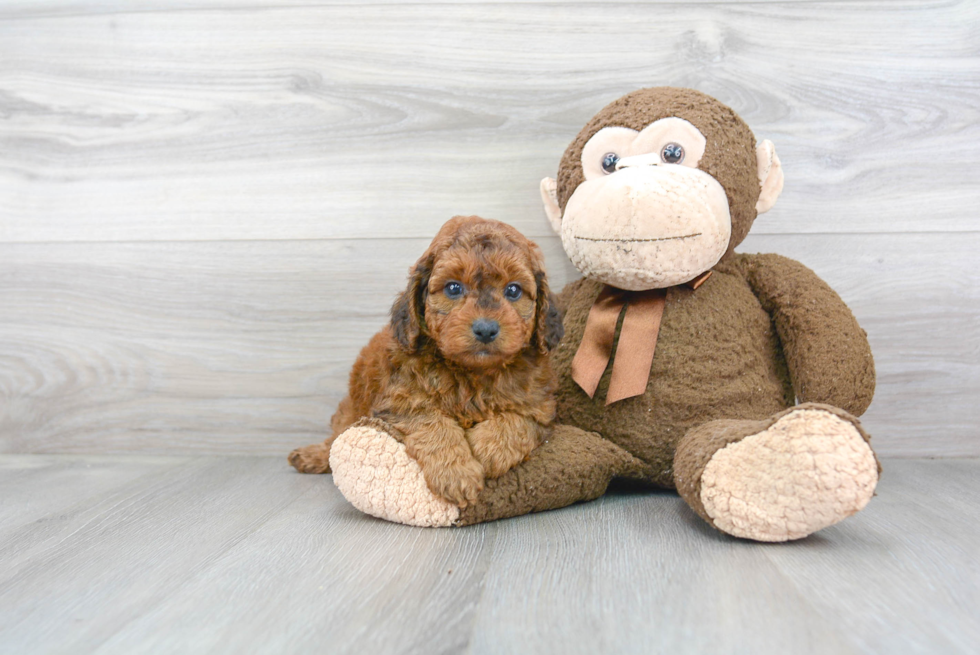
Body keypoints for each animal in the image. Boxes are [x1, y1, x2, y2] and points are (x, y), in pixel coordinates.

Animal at [290, 215, 564, 508]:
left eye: (513, 290)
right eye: (453, 288)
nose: (486, 329)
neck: (473, 373)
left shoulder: (539, 408)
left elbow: (515, 422)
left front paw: (485, 451)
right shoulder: (400, 401)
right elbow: (433, 424)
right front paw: (457, 473)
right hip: (351, 407)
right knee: (336, 435)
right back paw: (311, 455)